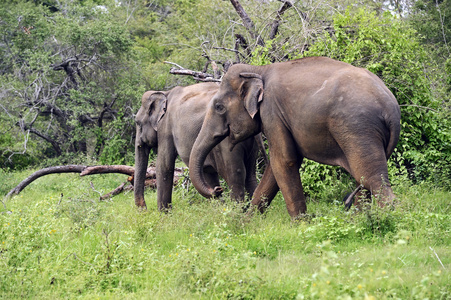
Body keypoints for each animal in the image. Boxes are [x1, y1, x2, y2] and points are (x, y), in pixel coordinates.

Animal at [134, 81, 260, 210]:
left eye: (137, 123)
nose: (144, 209)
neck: (164, 93)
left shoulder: (165, 127)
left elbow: (164, 164)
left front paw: (164, 213)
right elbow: (207, 172)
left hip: (227, 143)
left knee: (235, 175)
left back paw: (237, 212)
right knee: (250, 174)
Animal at [189, 56, 400, 218]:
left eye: (219, 107)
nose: (218, 190)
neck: (258, 70)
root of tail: (391, 107)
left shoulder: (272, 111)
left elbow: (284, 161)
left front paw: (301, 225)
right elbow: (275, 168)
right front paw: (247, 223)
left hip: (358, 128)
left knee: (369, 177)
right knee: (363, 179)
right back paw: (358, 219)